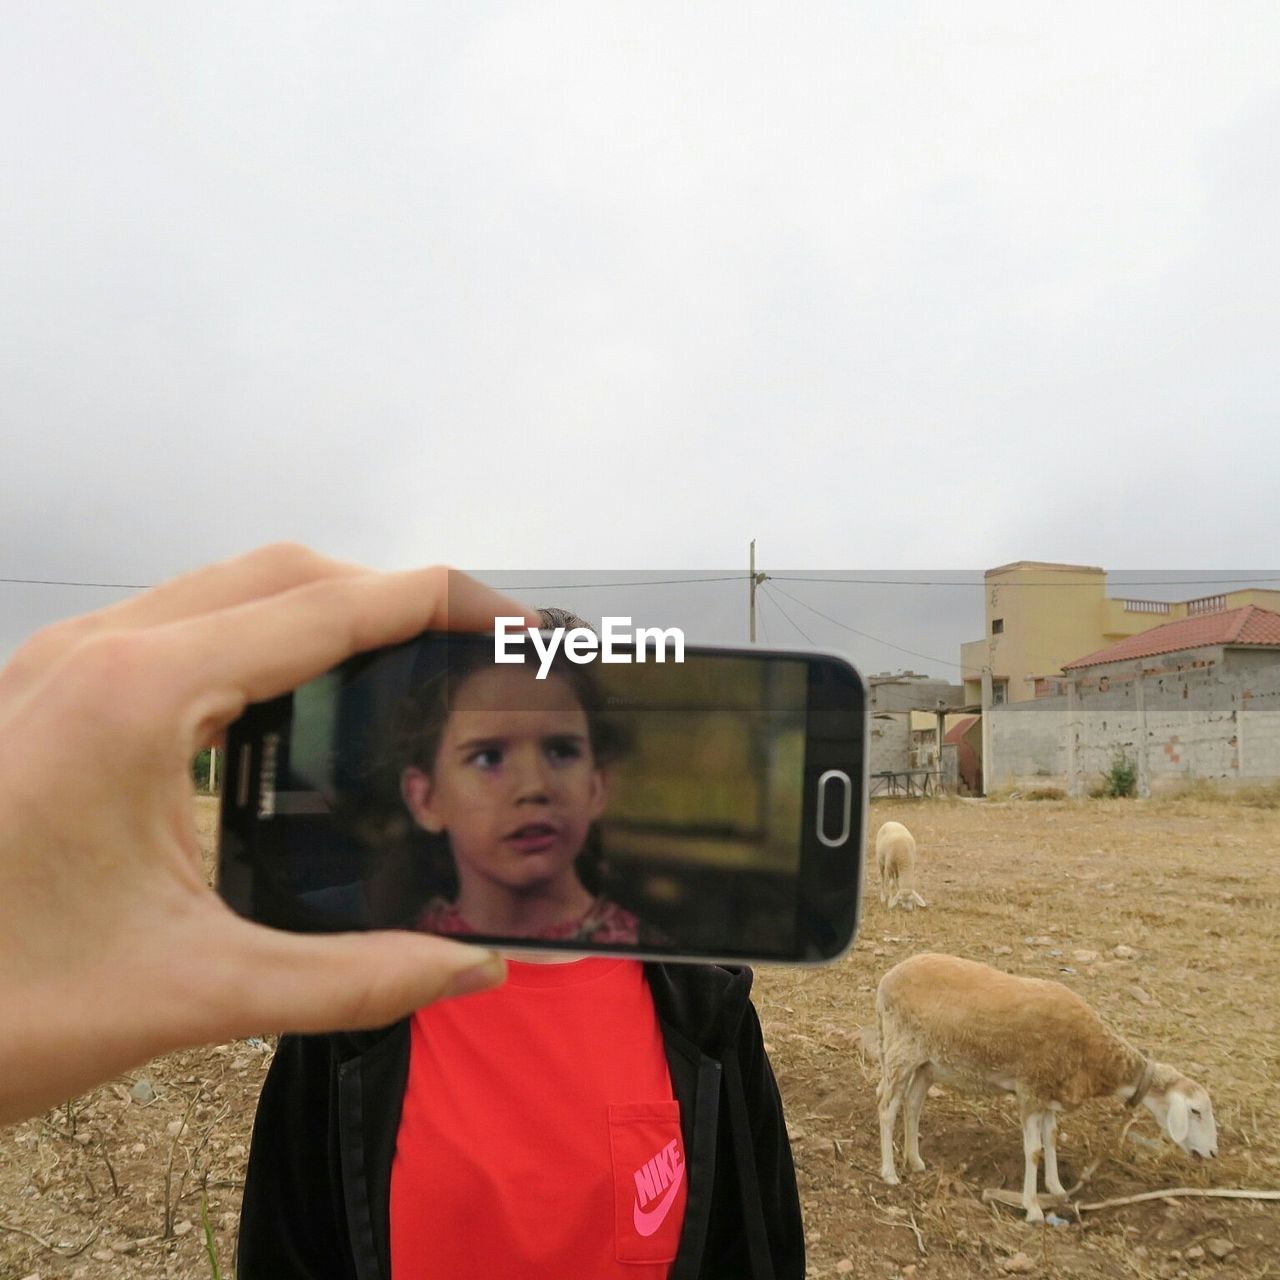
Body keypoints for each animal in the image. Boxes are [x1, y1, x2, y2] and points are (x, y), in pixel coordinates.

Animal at [875, 952, 1213, 1218]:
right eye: (1195, 1111)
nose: (1211, 1153)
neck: (1094, 1056)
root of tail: (888, 978)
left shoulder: (1052, 1093)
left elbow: (1050, 1139)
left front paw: (1056, 1188)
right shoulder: (1031, 1090)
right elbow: (1034, 1150)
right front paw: (1033, 1207)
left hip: (928, 1063)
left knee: (913, 1105)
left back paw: (915, 1161)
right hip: (901, 1048)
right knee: (887, 1107)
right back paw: (890, 1173)